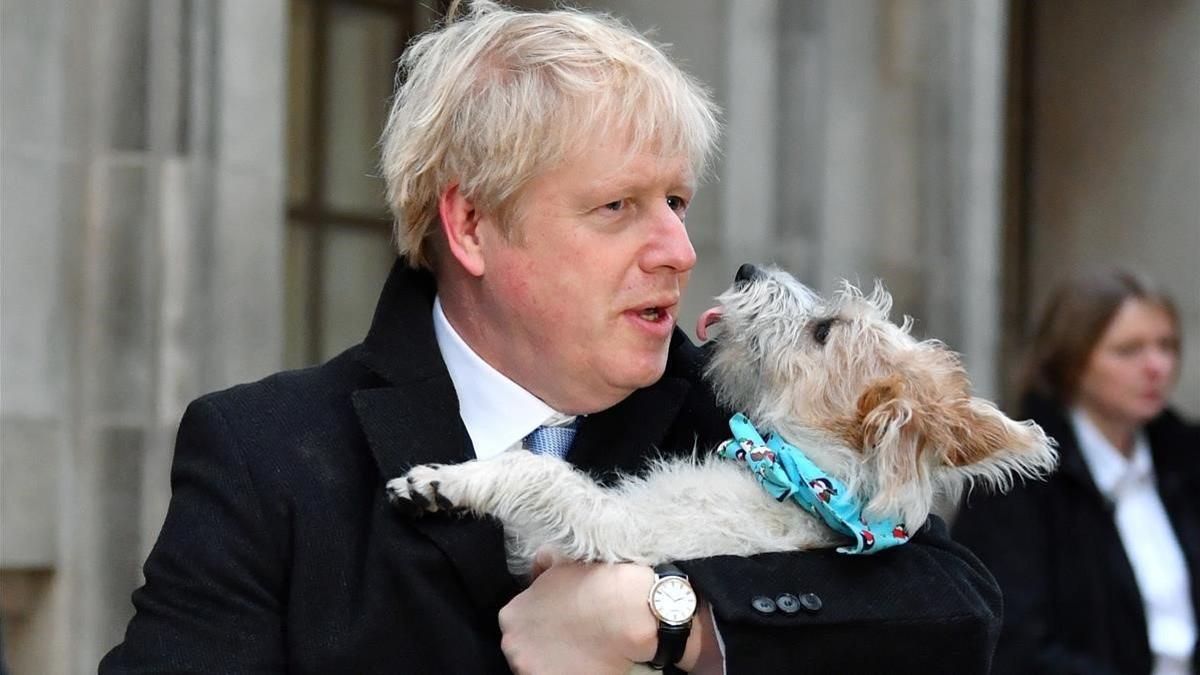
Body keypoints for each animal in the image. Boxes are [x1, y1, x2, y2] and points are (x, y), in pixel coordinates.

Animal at [388, 263, 1056, 571]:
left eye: (823, 331)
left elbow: (542, 474)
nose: (745, 269)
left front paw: (440, 483)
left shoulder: (620, 533)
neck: (802, 477)